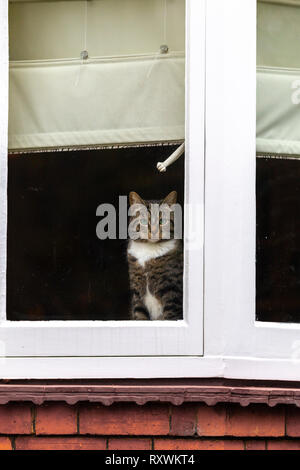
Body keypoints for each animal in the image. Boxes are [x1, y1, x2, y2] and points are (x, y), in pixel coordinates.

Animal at [126, 190, 183, 320]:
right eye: (143, 221)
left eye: (162, 221)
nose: (154, 231)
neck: (149, 250)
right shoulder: (137, 293)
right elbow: (139, 315)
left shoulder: (172, 292)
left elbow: (170, 316)